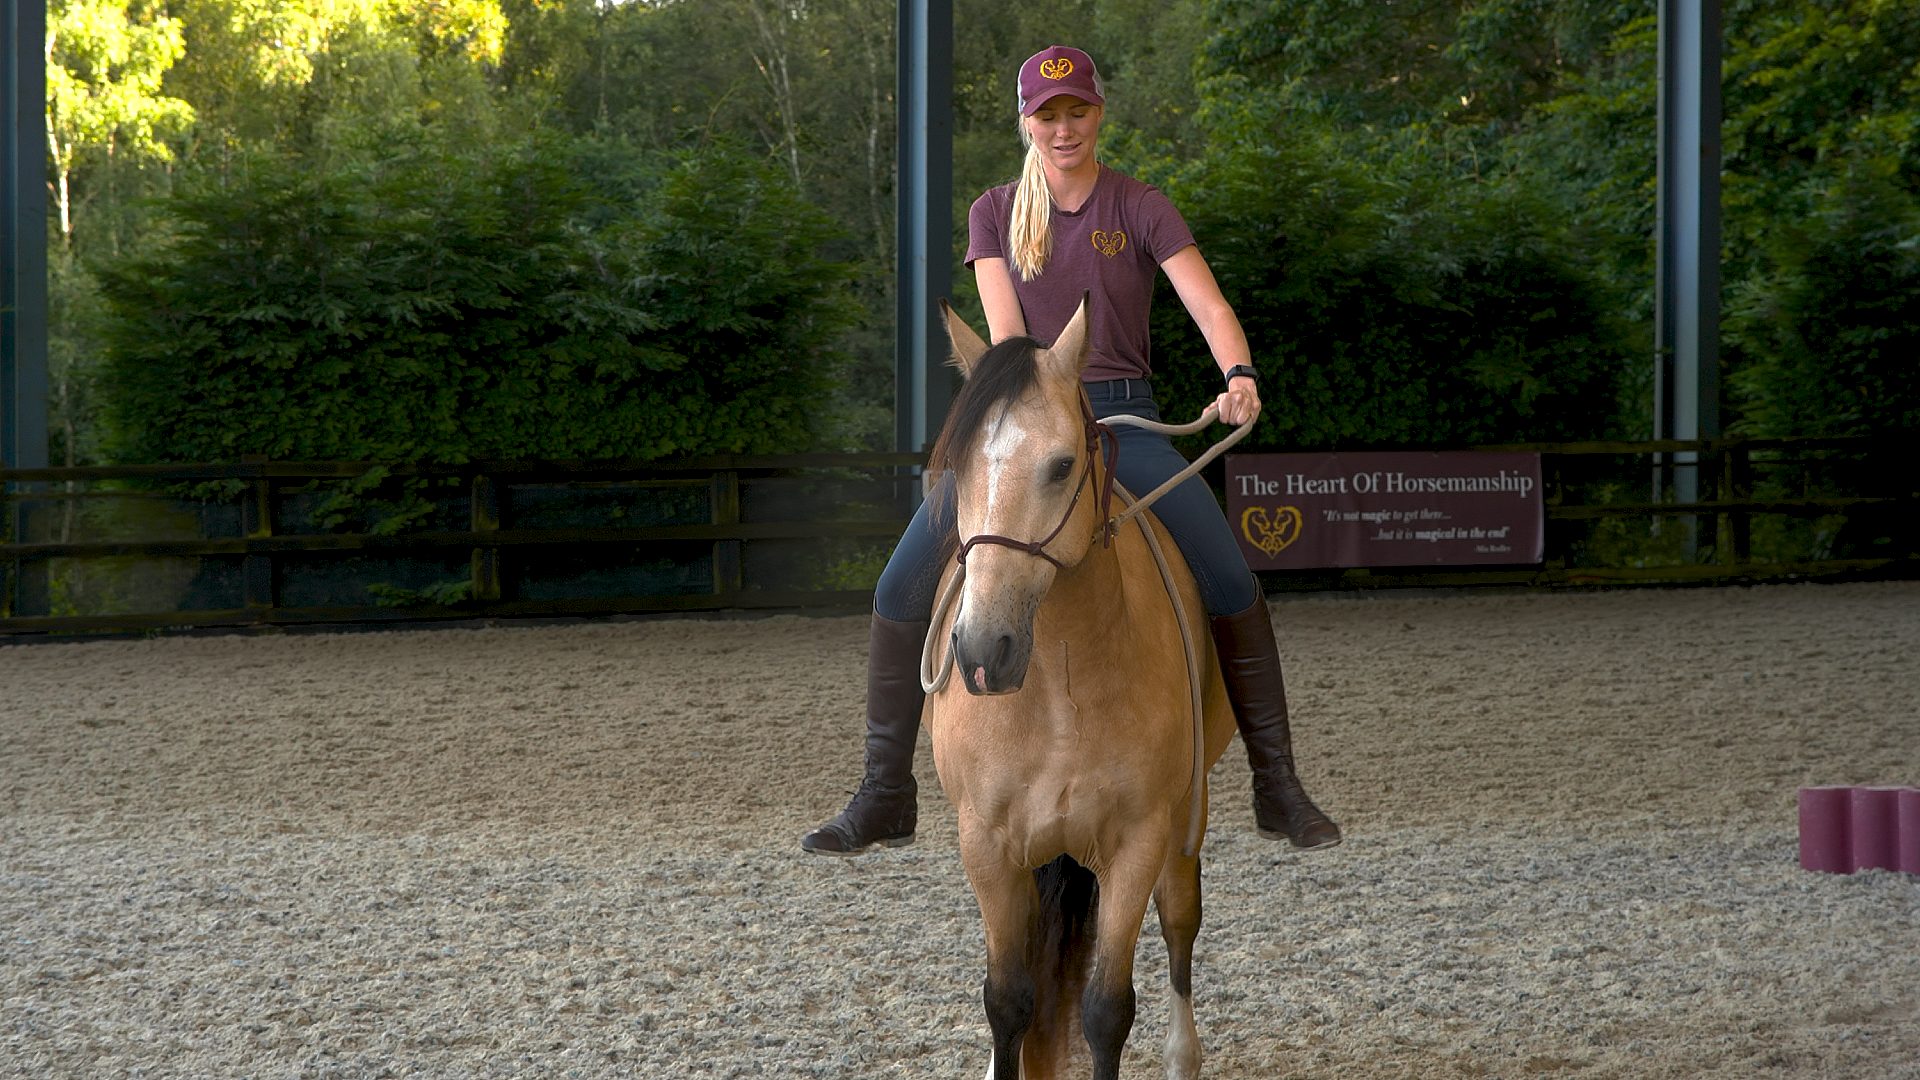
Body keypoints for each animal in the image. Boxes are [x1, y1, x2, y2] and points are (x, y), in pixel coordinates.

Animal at [919, 298, 1239, 1080]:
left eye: (1061, 465)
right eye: (956, 467)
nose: (982, 651)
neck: (1059, 686)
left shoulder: (1138, 839)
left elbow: (1106, 1010)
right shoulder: (987, 844)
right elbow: (1007, 1001)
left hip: (1186, 814)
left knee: (1180, 921)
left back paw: (1183, 1055)